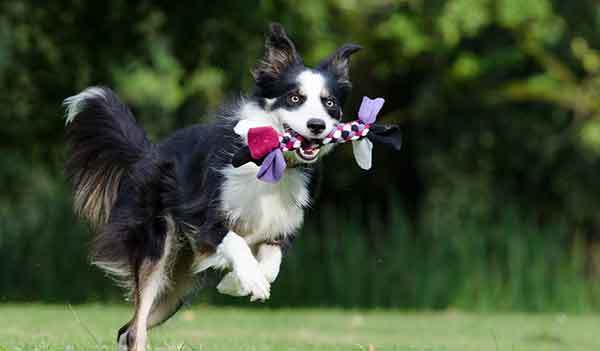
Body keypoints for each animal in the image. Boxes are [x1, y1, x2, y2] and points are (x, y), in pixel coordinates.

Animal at [65, 23, 364, 350]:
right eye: (295, 98)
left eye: (329, 103)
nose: (316, 126)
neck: (272, 162)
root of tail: (148, 153)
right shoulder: (202, 216)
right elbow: (234, 240)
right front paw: (250, 279)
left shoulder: (281, 226)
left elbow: (272, 264)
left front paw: (237, 282)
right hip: (158, 247)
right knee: (135, 328)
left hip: (178, 286)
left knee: (126, 328)